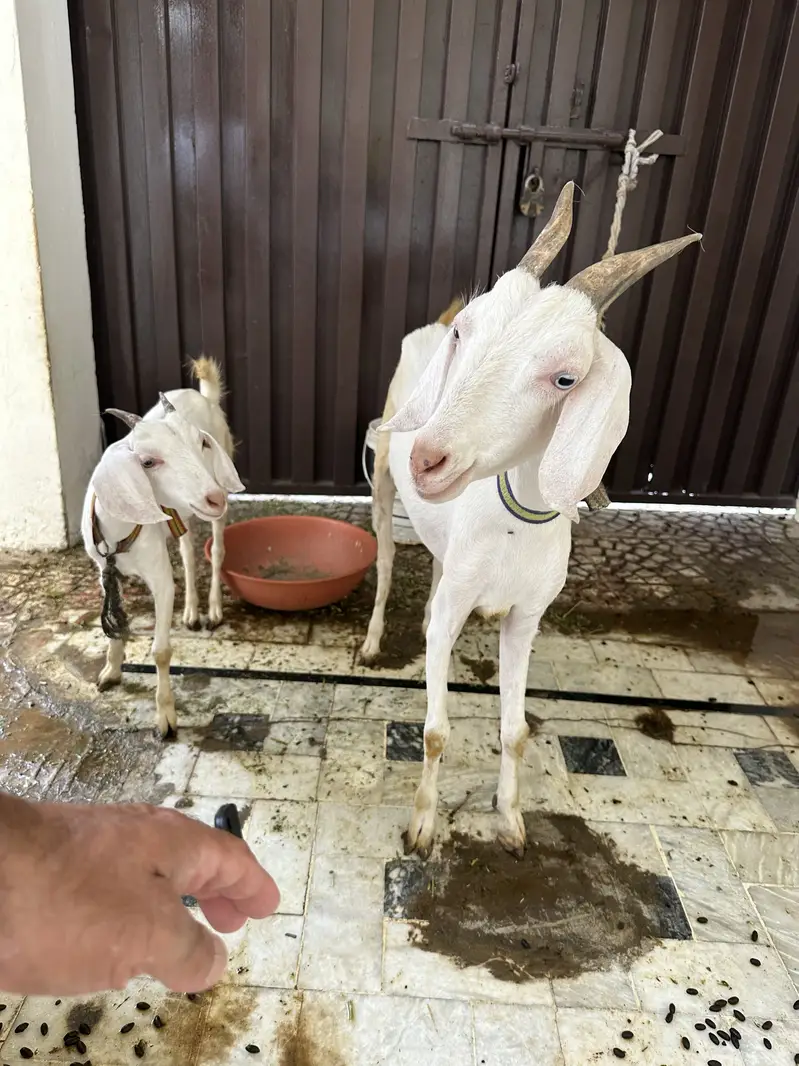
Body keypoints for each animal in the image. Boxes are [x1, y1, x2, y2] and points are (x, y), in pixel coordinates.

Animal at [81, 358, 243, 737]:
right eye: (147, 462)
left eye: (202, 443)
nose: (213, 497)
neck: (120, 533)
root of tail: (201, 394)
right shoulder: (103, 569)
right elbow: (113, 623)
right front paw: (110, 672)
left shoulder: (159, 578)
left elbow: (160, 652)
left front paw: (166, 717)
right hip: (183, 513)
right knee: (187, 552)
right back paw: (192, 612)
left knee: (215, 550)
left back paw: (213, 609)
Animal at [361, 182, 701, 857]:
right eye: (464, 333)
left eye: (565, 378)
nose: (429, 459)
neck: (517, 528)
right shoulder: (461, 603)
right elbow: (435, 731)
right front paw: (422, 826)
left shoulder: (527, 617)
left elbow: (516, 731)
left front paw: (512, 823)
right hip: (383, 474)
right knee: (385, 560)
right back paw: (374, 638)